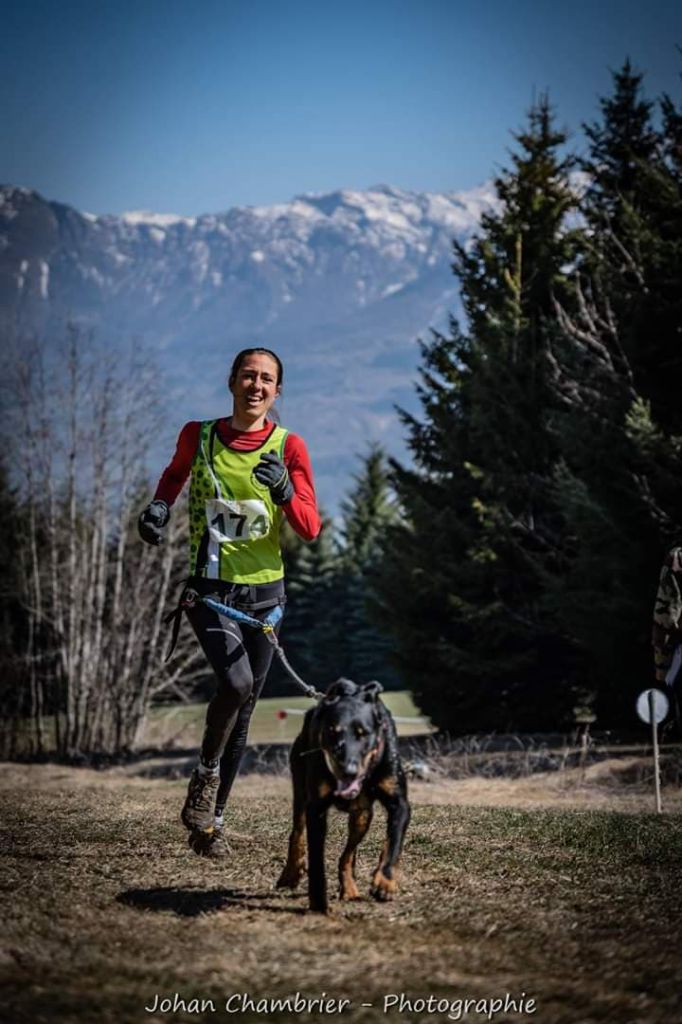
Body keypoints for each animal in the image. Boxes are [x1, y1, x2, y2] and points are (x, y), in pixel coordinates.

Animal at [274, 679, 409, 913]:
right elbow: (316, 859)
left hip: (362, 815)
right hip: (300, 786)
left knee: (348, 854)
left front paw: (385, 882)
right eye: (332, 731)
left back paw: (350, 889)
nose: (349, 770)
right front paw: (318, 903)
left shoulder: (398, 802)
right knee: (297, 831)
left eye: (363, 733)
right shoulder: (316, 808)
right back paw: (291, 873)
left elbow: (393, 843)